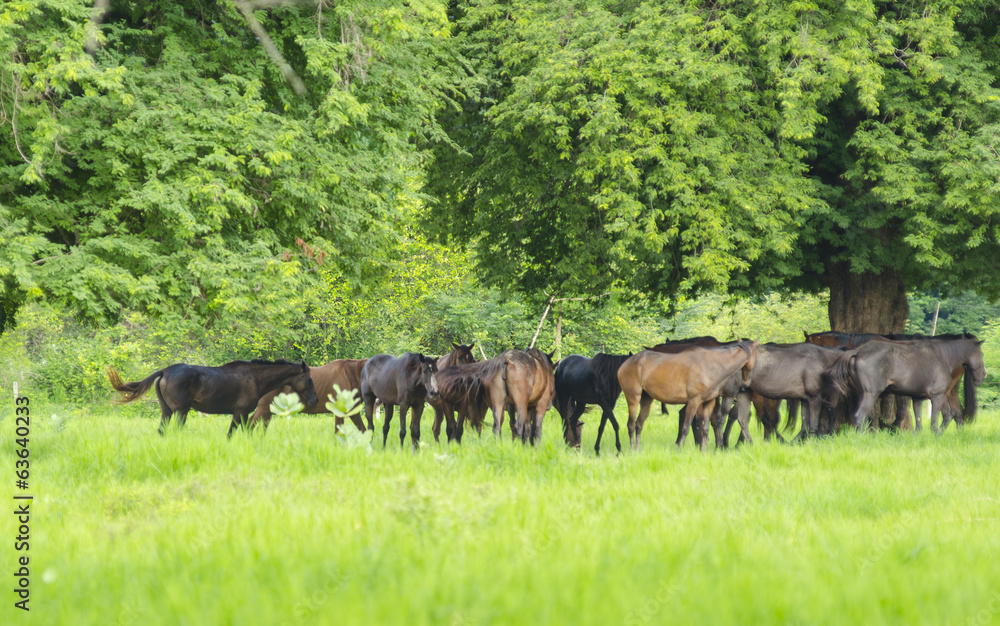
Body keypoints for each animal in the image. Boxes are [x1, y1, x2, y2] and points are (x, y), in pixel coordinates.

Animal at [106, 358, 316, 436]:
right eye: (308, 379)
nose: (315, 400)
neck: (254, 378)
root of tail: (165, 371)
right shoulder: (240, 412)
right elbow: (233, 433)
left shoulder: (243, 414)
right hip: (181, 410)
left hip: (166, 411)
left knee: (162, 431)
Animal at [616, 338, 756, 450]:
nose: (746, 384)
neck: (711, 365)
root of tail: (626, 363)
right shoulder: (694, 401)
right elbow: (687, 427)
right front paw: (680, 449)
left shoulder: (708, 402)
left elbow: (705, 428)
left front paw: (704, 451)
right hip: (633, 399)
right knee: (631, 425)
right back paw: (632, 450)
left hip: (647, 399)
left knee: (639, 424)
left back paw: (638, 450)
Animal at [824, 334, 988, 432]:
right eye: (981, 354)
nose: (983, 376)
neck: (942, 357)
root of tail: (858, 351)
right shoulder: (937, 396)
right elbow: (937, 420)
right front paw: (936, 434)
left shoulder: (917, 398)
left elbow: (920, 423)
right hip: (871, 394)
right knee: (860, 415)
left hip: (861, 394)